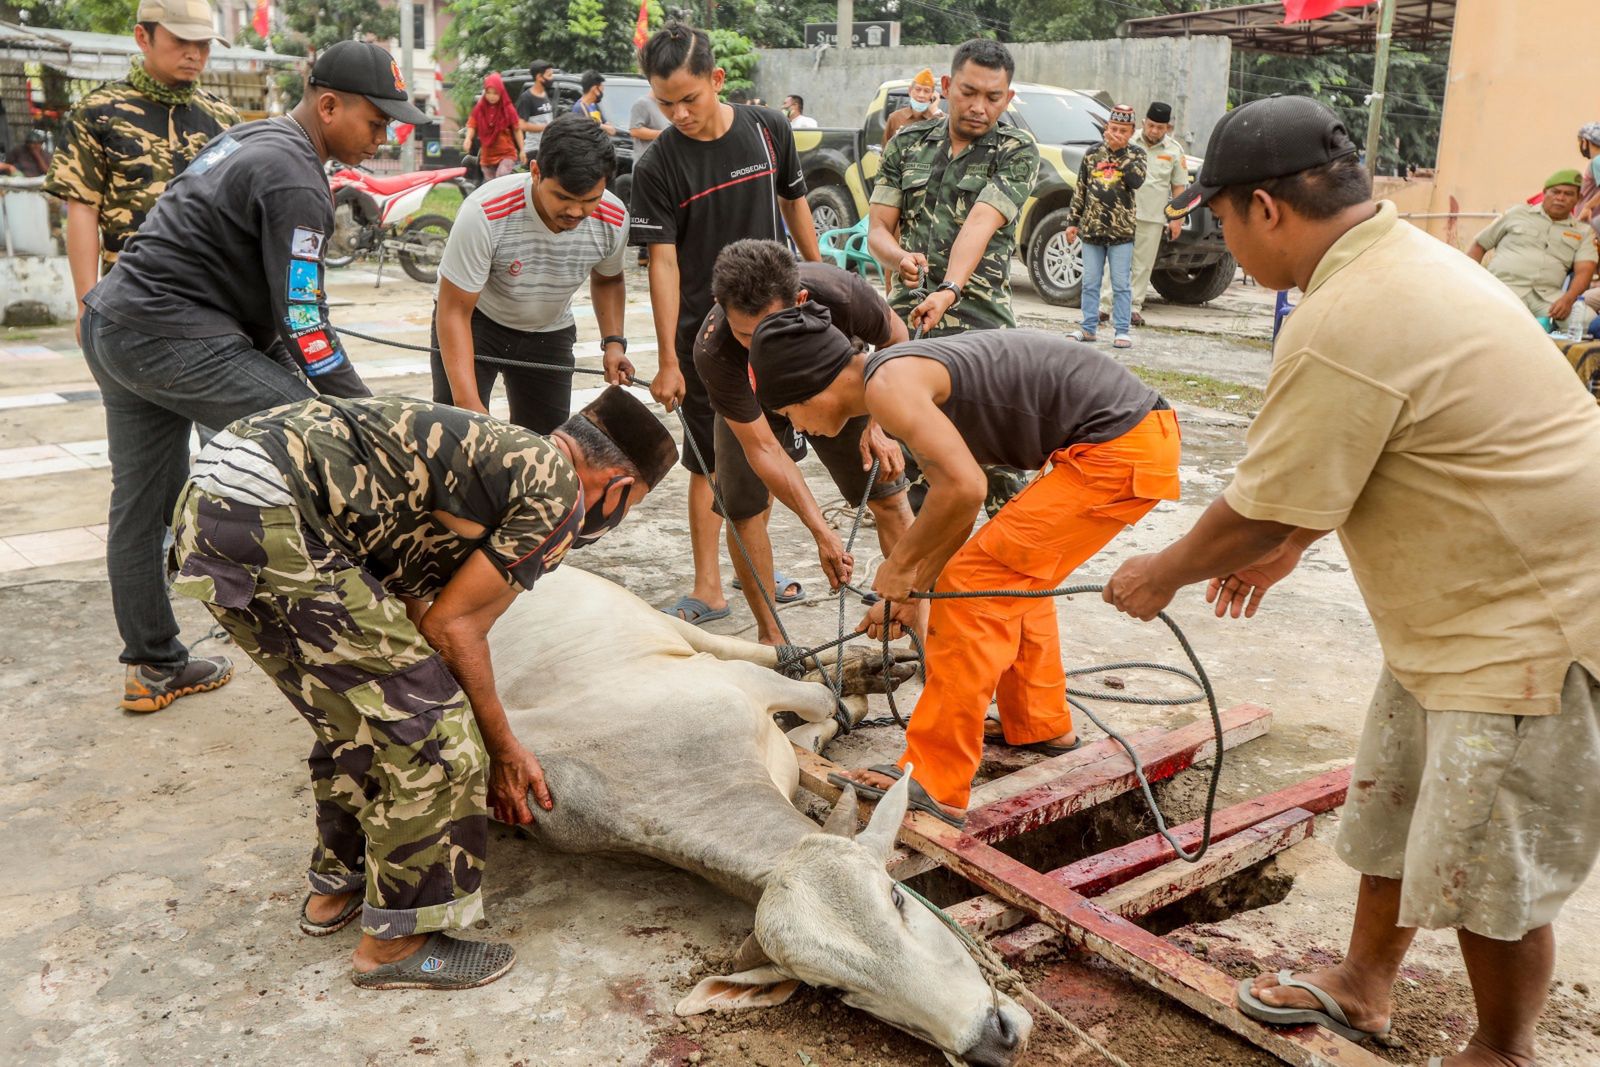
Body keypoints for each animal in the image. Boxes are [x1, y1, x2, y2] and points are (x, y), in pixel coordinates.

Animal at [489, 572, 1036, 1062]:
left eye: (897, 897)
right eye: (833, 990)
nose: (992, 1039)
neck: (690, 776)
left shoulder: (731, 681)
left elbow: (820, 702)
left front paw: (849, 690)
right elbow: (813, 723)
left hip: (666, 625)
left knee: (763, 651)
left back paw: (861, 666)